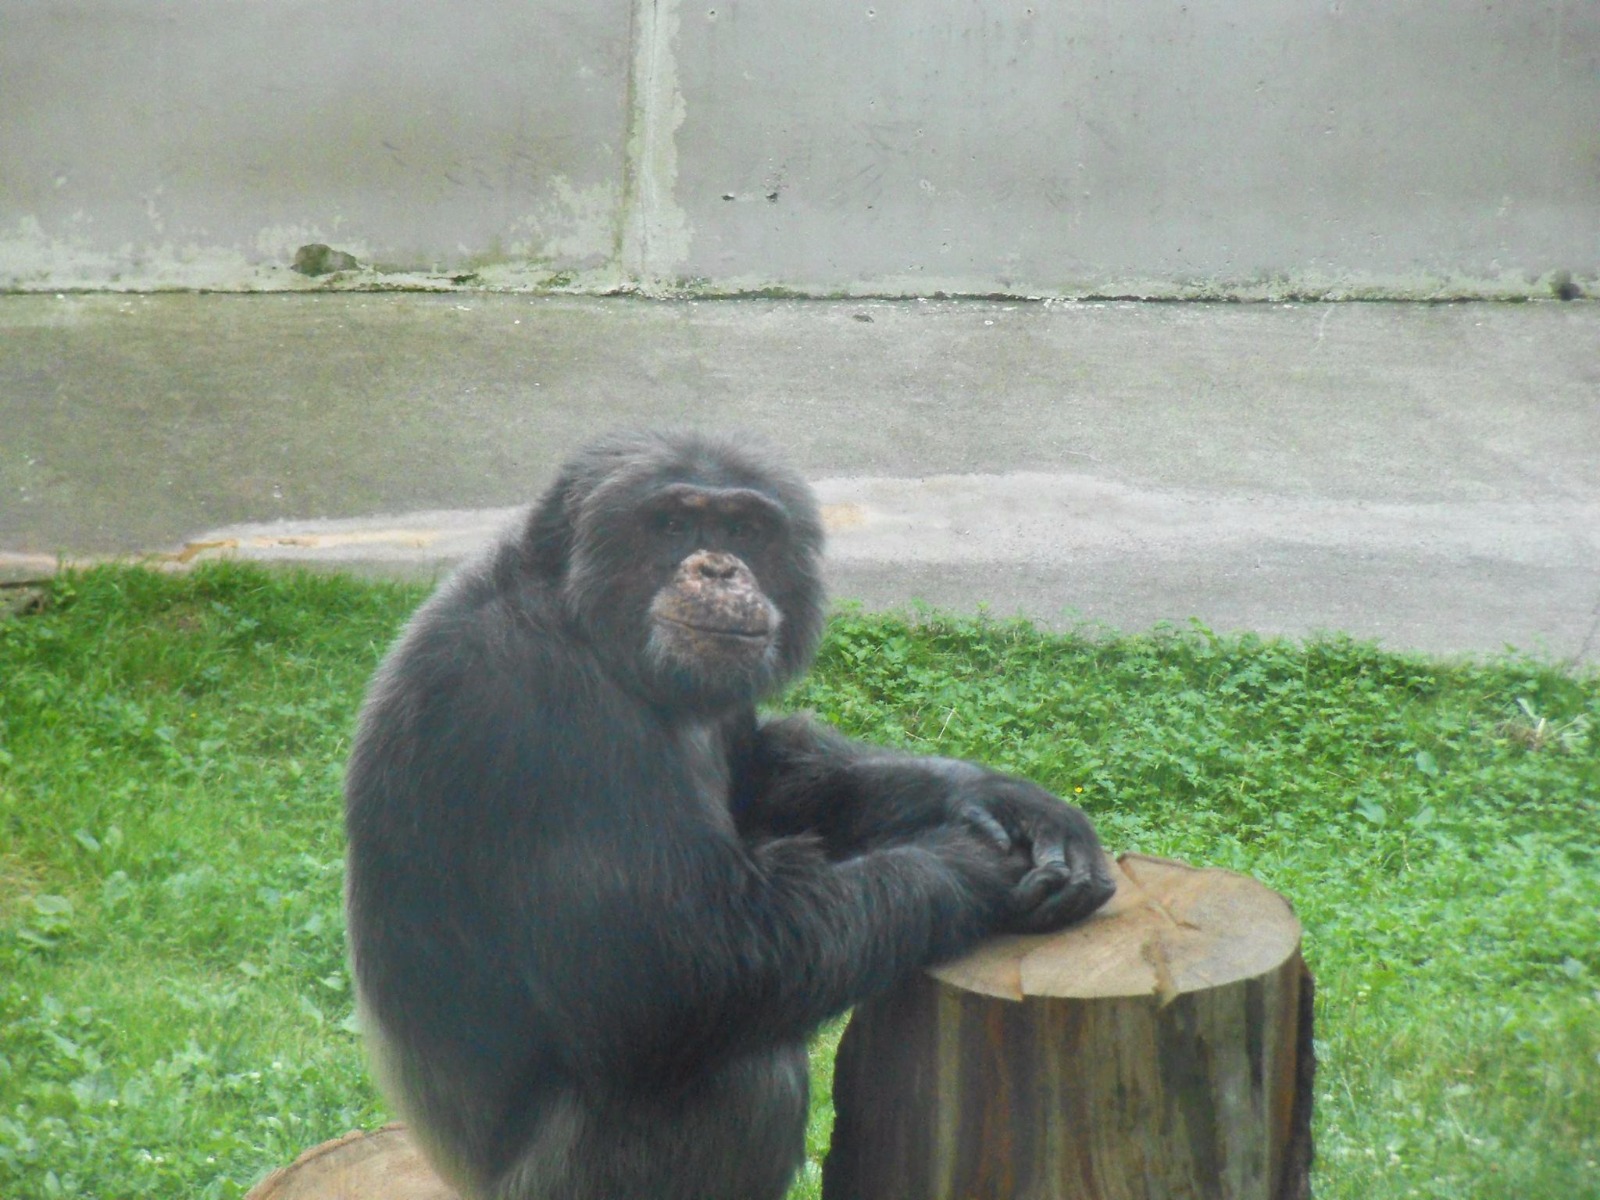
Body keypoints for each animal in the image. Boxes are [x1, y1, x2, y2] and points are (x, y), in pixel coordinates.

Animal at [344, 432, 1113, 1200]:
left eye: (744, 529)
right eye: (672, 525)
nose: (717, 566)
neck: (585, 626)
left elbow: (761, 775)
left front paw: (999, 797)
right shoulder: (537, 711)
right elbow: (668, 971)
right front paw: (966, 862)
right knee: (741, 1075)